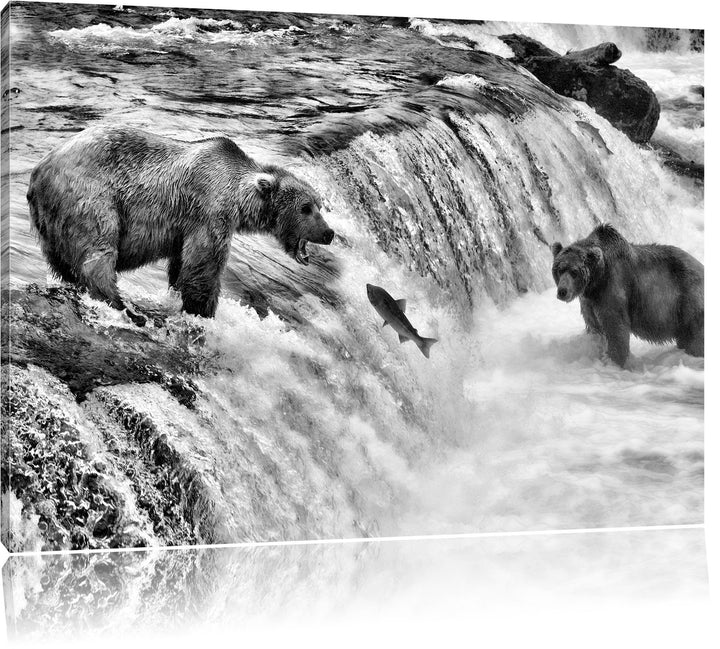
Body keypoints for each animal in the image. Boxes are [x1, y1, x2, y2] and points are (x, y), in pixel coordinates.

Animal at [26, 125, 335, 325]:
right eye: (306, 208)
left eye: (319, 205)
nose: (329, 233)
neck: (238, 196)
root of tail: (39, 169)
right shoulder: (209, 212)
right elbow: (204, 266)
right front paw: (203, 312)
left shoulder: (185, 227)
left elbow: (181, 265)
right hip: (91, 196)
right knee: (98, 250)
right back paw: (123, 306)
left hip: (50, 221)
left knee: (62, 261)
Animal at [551, 223, 703, 367]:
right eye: (559, 269)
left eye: (574, 271)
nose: (562, 291)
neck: (595, 281)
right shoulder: (589, 301)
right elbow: (594, 327)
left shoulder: (613, 289)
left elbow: (616, 328)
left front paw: (616, 361)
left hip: (687, 299)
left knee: (695, 336)